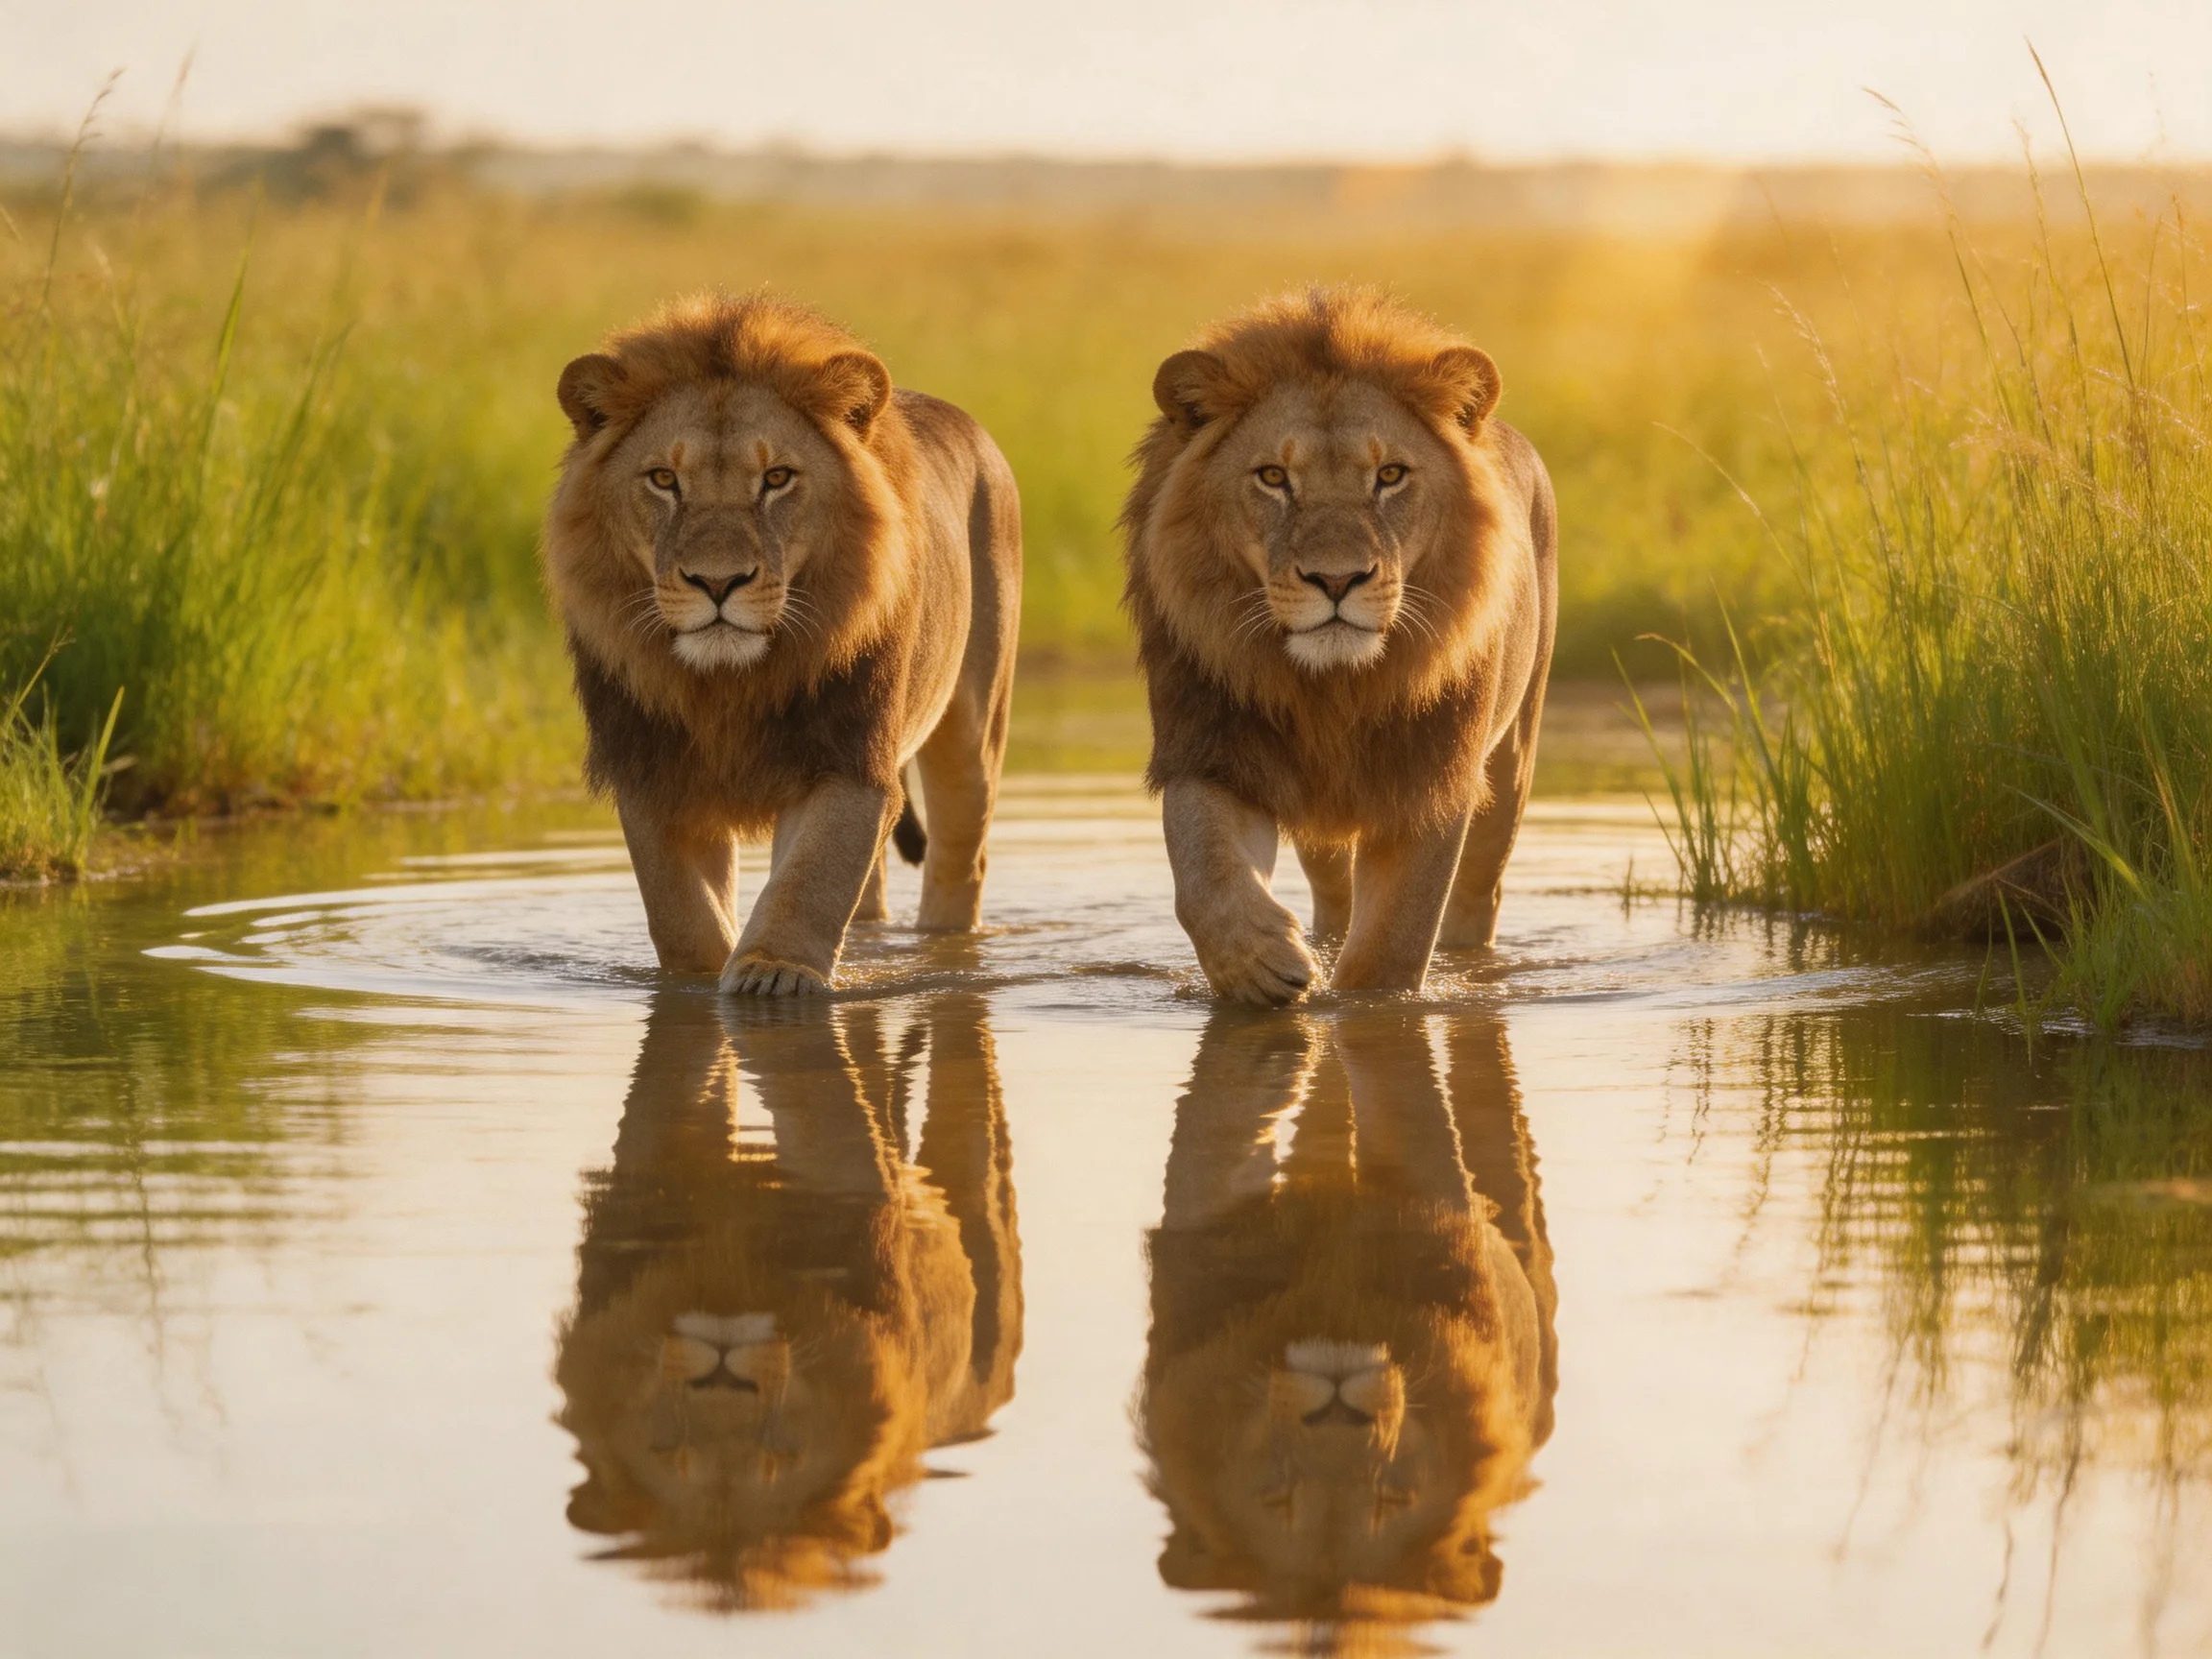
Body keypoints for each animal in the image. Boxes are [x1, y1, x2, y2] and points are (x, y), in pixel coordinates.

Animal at [546, 293, 1021, 995]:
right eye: (663, 479)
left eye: (776, 478)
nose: (718, 582)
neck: (726, 684)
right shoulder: (653, 770)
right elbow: (679, 910)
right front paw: (698, 980)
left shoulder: (847, 759)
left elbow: (813, 875)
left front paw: (773, 973)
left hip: (973, 727)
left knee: (961, 862)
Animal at [1122, 286, 1557, 1002]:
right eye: (1273, 476)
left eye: (1391, 474)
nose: (1335, 579)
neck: (1333, 687)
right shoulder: (1213, 747)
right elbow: (1203, 869)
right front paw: (1259, 965)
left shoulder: (1428, 779)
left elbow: (1391, 948)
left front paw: (1365, 1007)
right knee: (1334, 897)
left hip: (1510, 763)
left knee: (1478, 895)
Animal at [1141, 1006, 1557, 1639]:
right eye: (1277, 1498)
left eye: (1392, 1499)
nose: (1337, 1416)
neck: (1335, 1303)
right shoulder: (1201, 1237)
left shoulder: (1435, 1198)